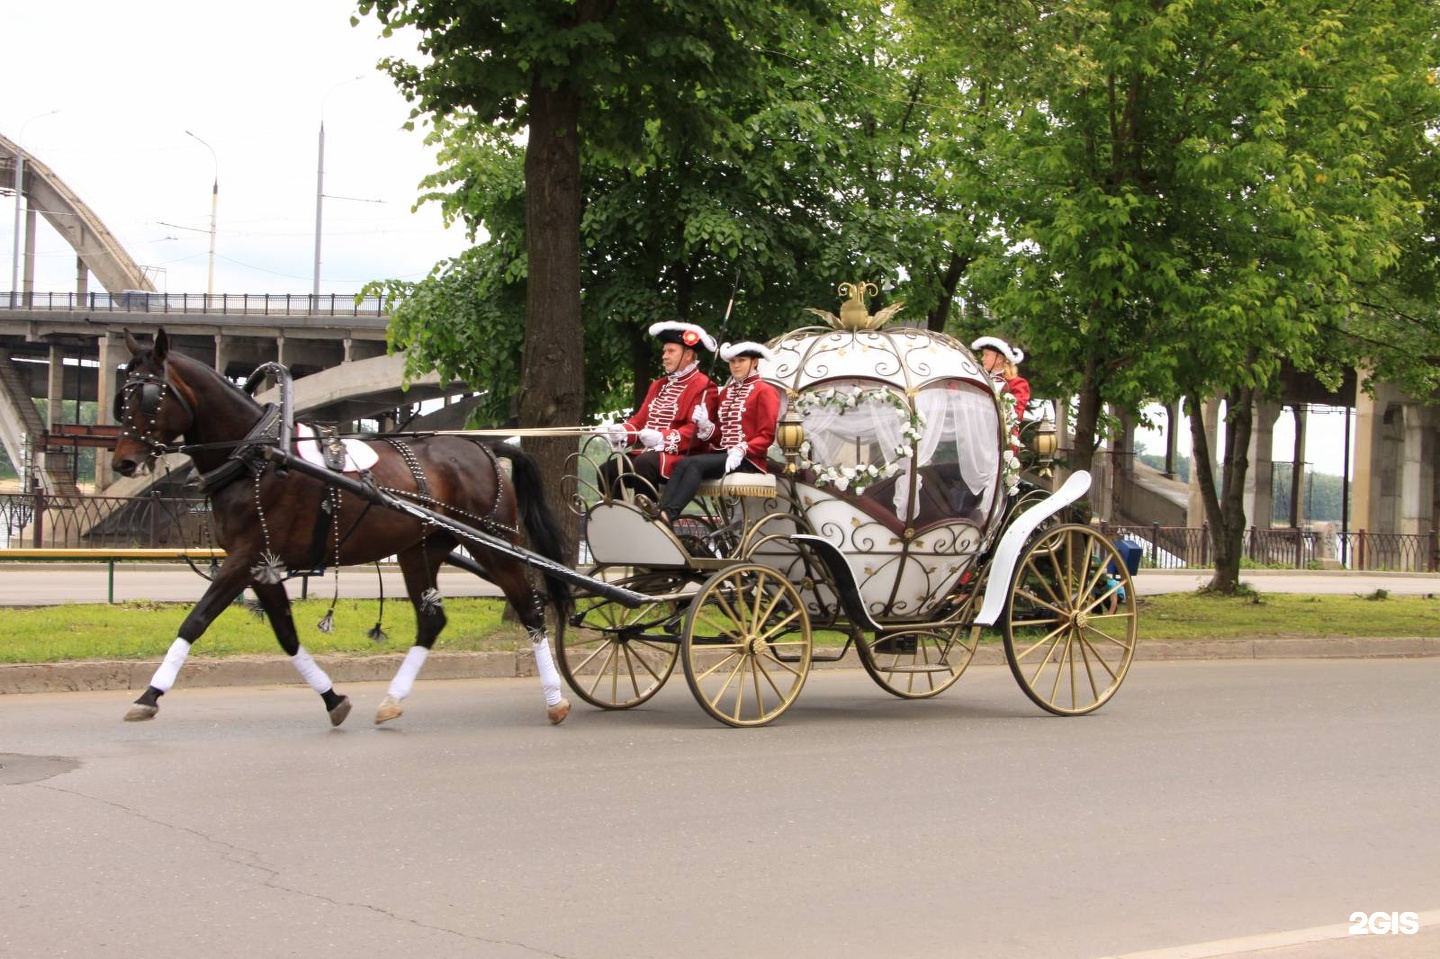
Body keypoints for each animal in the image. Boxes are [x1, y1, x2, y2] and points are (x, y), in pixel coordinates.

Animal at [110, 328, 573, 725]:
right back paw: (392, 700)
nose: (123, 462)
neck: (257, 454)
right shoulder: (262, 564)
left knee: (531, 610)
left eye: (148, 396)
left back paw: (555, 699)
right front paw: (333, 698)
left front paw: (148, 695)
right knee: (432, 622)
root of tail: (484, 448)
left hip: (493, 543)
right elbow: (285, 634)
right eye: (121, 397)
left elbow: (196, 620)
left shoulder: (245, 557)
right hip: (421, 550)